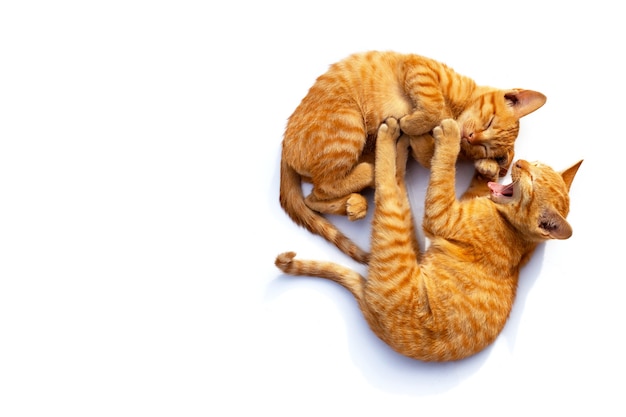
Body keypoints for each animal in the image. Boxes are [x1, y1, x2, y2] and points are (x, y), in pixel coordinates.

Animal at [276, 117, 584, 360]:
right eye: (535, 165)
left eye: (532, 181)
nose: (519, 163)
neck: (512, 227)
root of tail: (371, 312)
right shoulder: (461, 201)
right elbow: (473, 182)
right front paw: (488, 166)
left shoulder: (441, 213)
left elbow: (444, 170)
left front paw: (450, 137)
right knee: (396, 179)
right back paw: (400, 143)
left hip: (395, 231)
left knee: (387, 184)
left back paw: (390, 137)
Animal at [280, 50, 544, 262]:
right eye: (489, 122)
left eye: (486, 148)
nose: (470, 137)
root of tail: (285, 145)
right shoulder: (419, 68)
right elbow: (434, 105)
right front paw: (414, 123)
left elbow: (430, 153)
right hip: (348, 122)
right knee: (321, 188)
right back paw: (367, 177)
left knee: (314, 196)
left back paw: (354, 201)